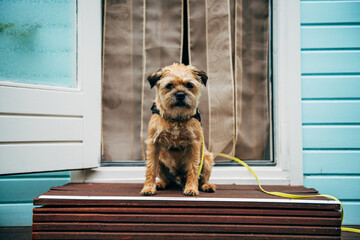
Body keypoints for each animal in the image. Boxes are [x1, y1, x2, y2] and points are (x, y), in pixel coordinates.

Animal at [140, 62, 214, 196]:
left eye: (189, 85)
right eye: (169, 85)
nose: (180, 94)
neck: (176, 118)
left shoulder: (194, 145)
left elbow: (193, 168)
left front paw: (191, 188)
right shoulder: (153, 144)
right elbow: (151, 167)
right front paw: (148, 188)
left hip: (207, 158)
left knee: (203, 178)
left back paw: (207, 186)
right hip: (160, 161)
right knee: (168, 180)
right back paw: (160, 184)